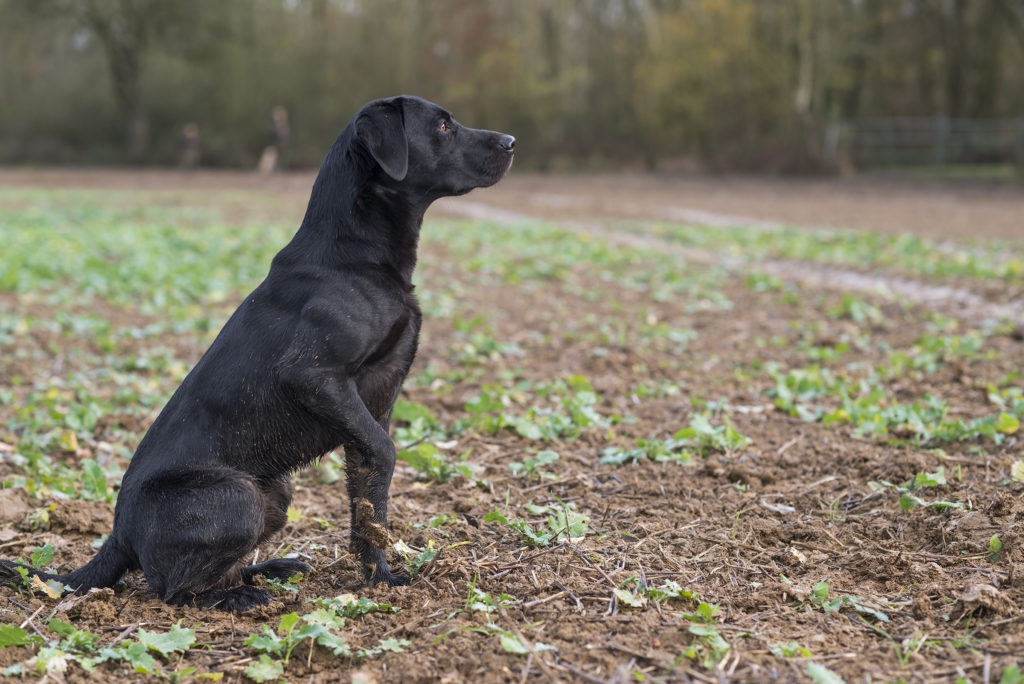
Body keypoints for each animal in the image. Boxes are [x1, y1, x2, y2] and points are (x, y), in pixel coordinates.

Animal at [0, 94, 512, 610]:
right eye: (443, 126)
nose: (511, 141)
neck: (353, 256)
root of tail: (118, 535)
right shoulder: (316, 377)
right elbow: (385, 457)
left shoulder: (376, 403)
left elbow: (369, 501)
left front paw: (379, 579)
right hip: (239, 495)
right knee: (173, 590)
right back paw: (242, 599)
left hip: (276, 494)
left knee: (218, 572)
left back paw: (270, 571)